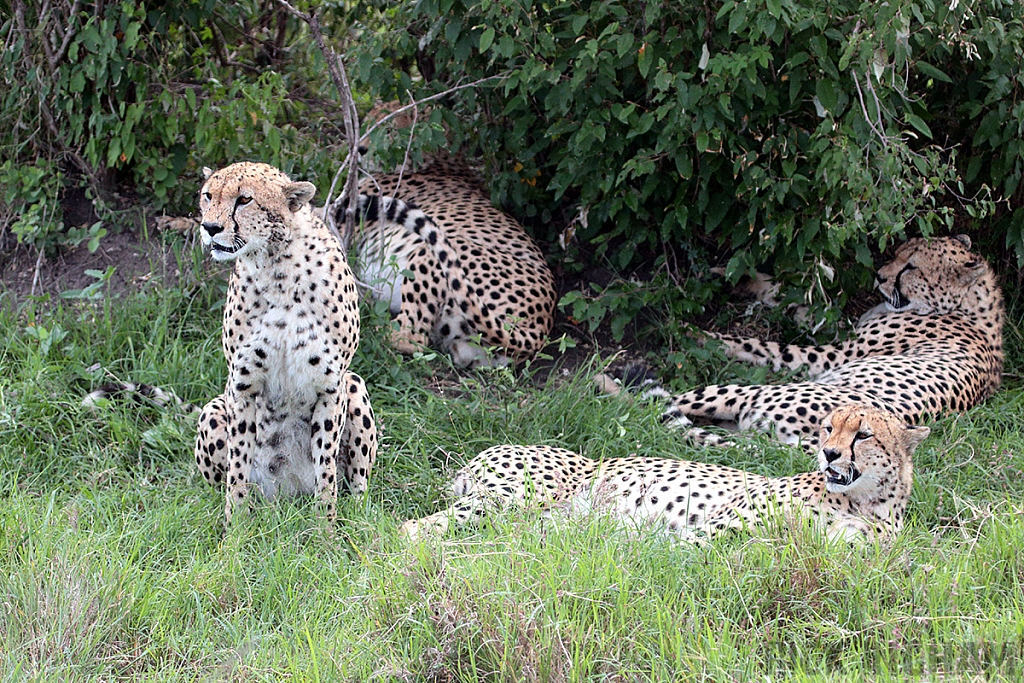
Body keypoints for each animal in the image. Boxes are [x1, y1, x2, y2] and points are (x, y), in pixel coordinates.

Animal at [192, 161, 376, 524]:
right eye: (208, 195)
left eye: (244, 199)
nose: (210, 227)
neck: (275, 266)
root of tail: (289, 492)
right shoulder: (242, 385)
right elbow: (237, 468)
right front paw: (235, 529)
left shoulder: (330, 385)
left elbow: (326, 470)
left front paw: (325, 529)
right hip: (214, 408)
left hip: (354, 384)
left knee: (358, 486)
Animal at [399, 405, 929, 544]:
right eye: (827, 427)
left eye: (863, 434)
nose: (828, 453)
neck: (867, 503)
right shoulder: (724, 524)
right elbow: (693, 548)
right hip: (515, 495)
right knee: (411, 528)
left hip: (528, 519)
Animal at [659, 235, 1003, 454]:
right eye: (899, 254)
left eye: (912, 267)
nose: (879, 276)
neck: (966, 307)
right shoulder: (841, 330)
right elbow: (800, 303)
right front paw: (739, 277)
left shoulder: (833, 354)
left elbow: (765, 347)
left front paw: (702, 336)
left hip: (749, 392)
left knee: (663, 404)